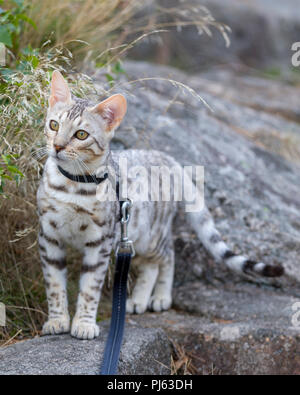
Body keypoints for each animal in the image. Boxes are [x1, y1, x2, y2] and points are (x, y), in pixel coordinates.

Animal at [37, 70, 284, 340]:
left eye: (81, 134)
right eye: (54, 125)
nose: (57, 146)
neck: (72, 185)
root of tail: (168, 158)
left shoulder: (99, 243)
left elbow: (90, 288)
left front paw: (83, 323)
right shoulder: (49, 238)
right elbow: (54, 285)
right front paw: (57, 320)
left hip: (149, 235)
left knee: (166, 257)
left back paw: (156, 298)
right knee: (154, 262)